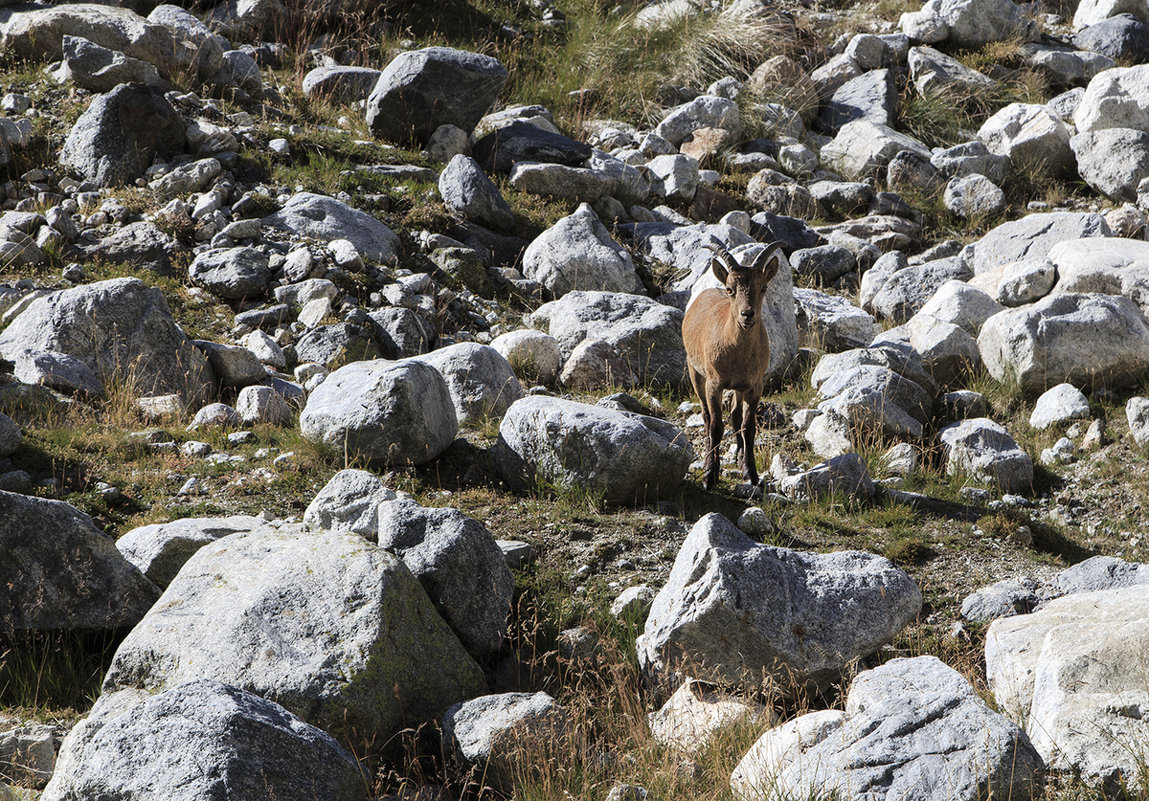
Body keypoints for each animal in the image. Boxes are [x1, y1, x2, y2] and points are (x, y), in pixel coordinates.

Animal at [680, 243, 781, 489]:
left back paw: (740, 458)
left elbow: (748, 427)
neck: (737, 355)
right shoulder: (714, 384)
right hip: (695, 372)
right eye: (730, 289)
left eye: (763, 287)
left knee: (735, 416)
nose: (747, 314)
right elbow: (716, 426)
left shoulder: (755, 386)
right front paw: (709, 476)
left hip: (738, 387)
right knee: (706, 417)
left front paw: (752, 474)